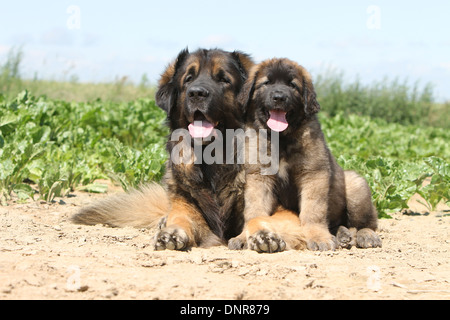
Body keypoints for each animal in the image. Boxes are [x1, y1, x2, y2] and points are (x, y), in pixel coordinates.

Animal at [73, 48, 256, 250]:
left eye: (223, 79)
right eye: (188, 79)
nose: (196, 93)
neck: (213, 159)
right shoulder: (185, 198)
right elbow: (183, 218)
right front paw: (172, 233)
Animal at [230, 58, 382, 251]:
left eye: (292, 85)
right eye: (267, 83)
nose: (279, 97)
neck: (282, 139)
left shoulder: (314, 175)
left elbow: (313, 211)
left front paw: (318, 236)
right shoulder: (259, 177)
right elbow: (255, 211)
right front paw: (246, 236)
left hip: (356, 186)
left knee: (366, 223)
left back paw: (365, 235)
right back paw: (342, 235)